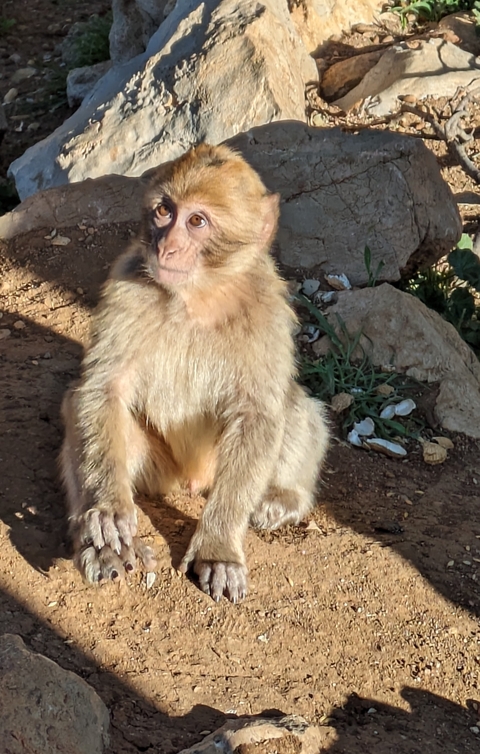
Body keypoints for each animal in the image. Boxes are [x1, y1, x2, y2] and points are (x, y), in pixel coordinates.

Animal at [60, 143, 329, 603]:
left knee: (291, 404)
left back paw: (284, 497)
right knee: (79, 405)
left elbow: (258, 415)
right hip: (158, 471)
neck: (197, 297)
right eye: (164, 211)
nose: (166, 247)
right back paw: (100, 543)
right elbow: (102, 390)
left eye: (197, 221)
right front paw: (108, 512)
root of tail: (191, 480)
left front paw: (217, 550)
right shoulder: (126, 284)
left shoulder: (266, 310)